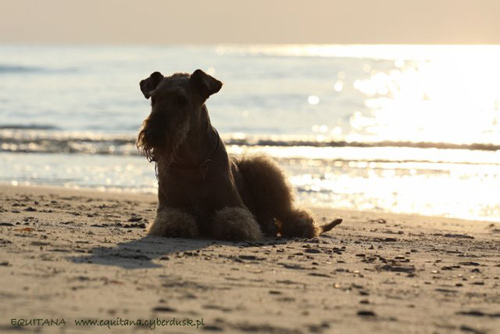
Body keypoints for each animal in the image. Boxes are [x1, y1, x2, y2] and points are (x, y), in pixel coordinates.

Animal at [136, 69, 340, 240]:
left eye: (181, 99)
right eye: (154, 99)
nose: (153, 134)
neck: (191, 163)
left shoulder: (234, 204)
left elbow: (235, 219)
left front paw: (233, 230)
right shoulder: (169, 207)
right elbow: (173, 219)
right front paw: (176, 228)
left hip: (261, 168)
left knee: (291, 213)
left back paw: (300, 227)